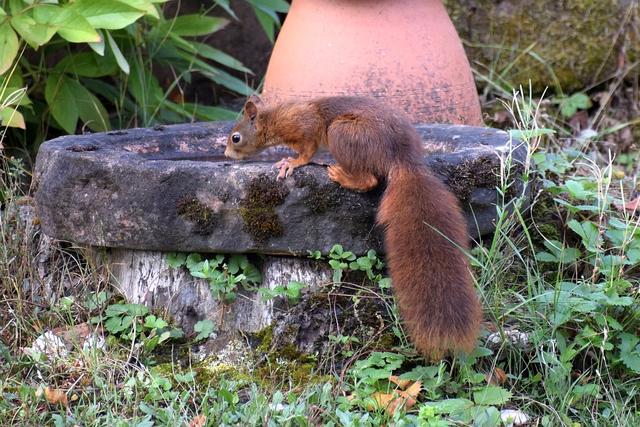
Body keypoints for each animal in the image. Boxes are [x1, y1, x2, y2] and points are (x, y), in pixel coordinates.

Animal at [225, 95, 482, 358]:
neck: (273, 118)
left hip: (343, 132)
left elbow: (307, 150)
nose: (226, 154)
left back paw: (342, 176)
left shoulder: (304, 125)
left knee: (369, 180)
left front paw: (292, 162)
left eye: (236, 137)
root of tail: (402, 158)